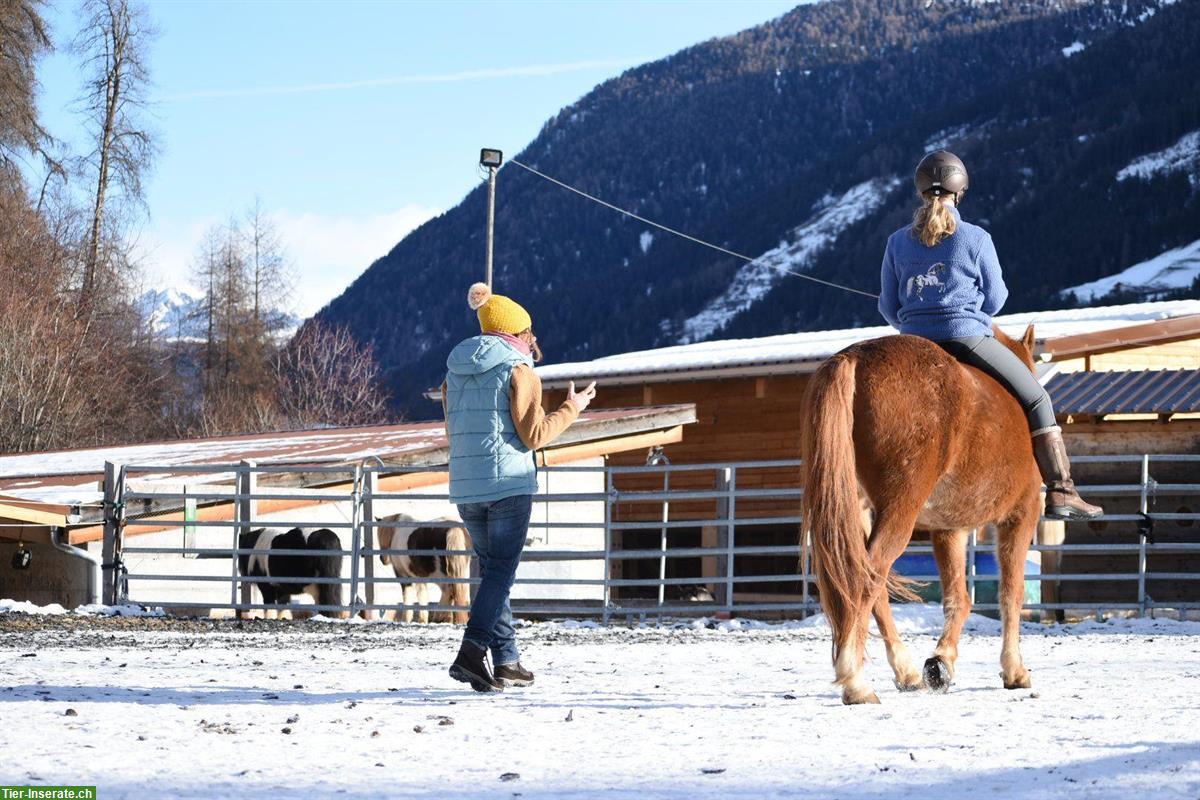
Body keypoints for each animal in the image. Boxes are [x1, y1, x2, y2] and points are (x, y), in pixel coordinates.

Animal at [806, 321, 1041, 705]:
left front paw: (941, 662)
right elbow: (1012, 592)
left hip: (859, 512)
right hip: (900, 507)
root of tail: (857, 356)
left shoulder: (949, 529)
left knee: (872, 583)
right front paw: (1014, 670)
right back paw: (855, 682)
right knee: (867, 580)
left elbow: (958, 597)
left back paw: (906, 671)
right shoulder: (1020, 516)